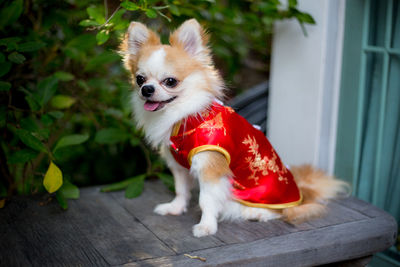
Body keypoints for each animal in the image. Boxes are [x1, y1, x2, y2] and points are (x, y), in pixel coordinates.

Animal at [120, 18, 348, 238]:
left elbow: (206, 200)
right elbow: (181, 190)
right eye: (140, 79)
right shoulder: (179, 166)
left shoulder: (210, 168)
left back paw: (259, 213)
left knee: (284, 211)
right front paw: (175, 208)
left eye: (170, 81)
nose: (147, 89)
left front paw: (206, 227)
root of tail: (302, 193)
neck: (184, 116)